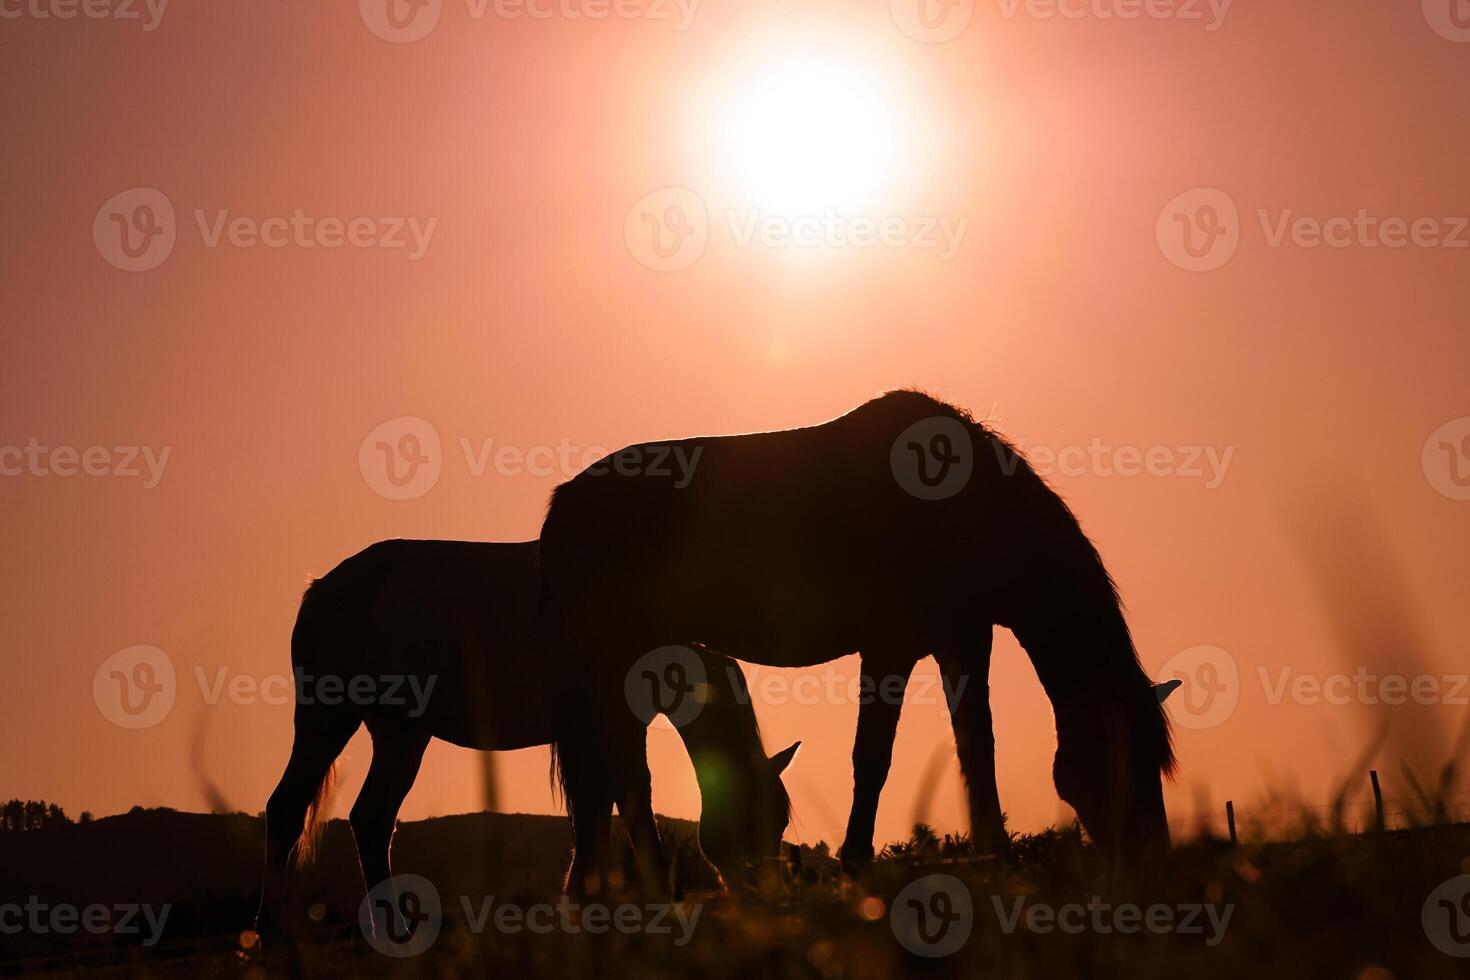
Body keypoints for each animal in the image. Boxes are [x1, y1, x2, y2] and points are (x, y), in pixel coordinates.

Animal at [258, 540, 799, 940]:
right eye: (753, 816)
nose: (768, 898)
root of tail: (321, 588)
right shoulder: (607, 728)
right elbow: (628, 803)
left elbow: (597, 811)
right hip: (328, 717)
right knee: (287, 808)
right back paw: (269, 935)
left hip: (402, 734)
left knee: (371, 819)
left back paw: (398, 934)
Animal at [540, 393, 1181, 887]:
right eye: (1123, 760)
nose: (1153, 865)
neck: (963, 507)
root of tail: (564, 505)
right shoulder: (889, 648)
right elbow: (872, 757)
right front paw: (856, 865)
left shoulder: (963, 641)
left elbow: (977, 750)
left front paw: (995, 859)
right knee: (622, 775)